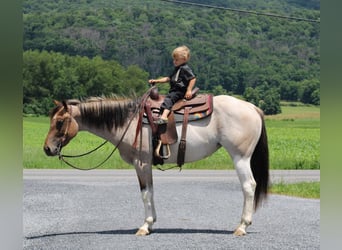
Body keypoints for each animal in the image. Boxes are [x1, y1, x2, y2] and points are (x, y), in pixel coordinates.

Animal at [42, 94, 268, 236]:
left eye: (60, 122)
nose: (47, 149)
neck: (128, 122)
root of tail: (252, 107)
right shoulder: (147, 165)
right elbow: (150, 192)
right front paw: (151, 223)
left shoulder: (141, 163)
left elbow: (145, 193)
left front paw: (145, 226)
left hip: (240, 157)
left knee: (249, 186)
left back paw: (242, 226)